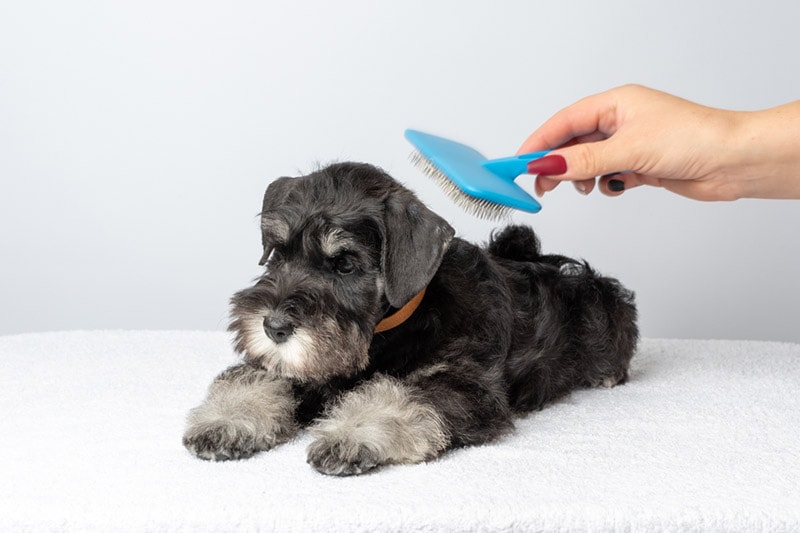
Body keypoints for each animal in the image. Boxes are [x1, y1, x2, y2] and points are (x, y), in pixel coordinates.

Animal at [183, 161, 636, 474]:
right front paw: (226, 418)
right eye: (278, 251)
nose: (273, 326)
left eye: (345, 265)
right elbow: (258, 377)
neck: (383, 335)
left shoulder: (465, 387)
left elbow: (399, 395)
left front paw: (351, 434)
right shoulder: (304, 366)